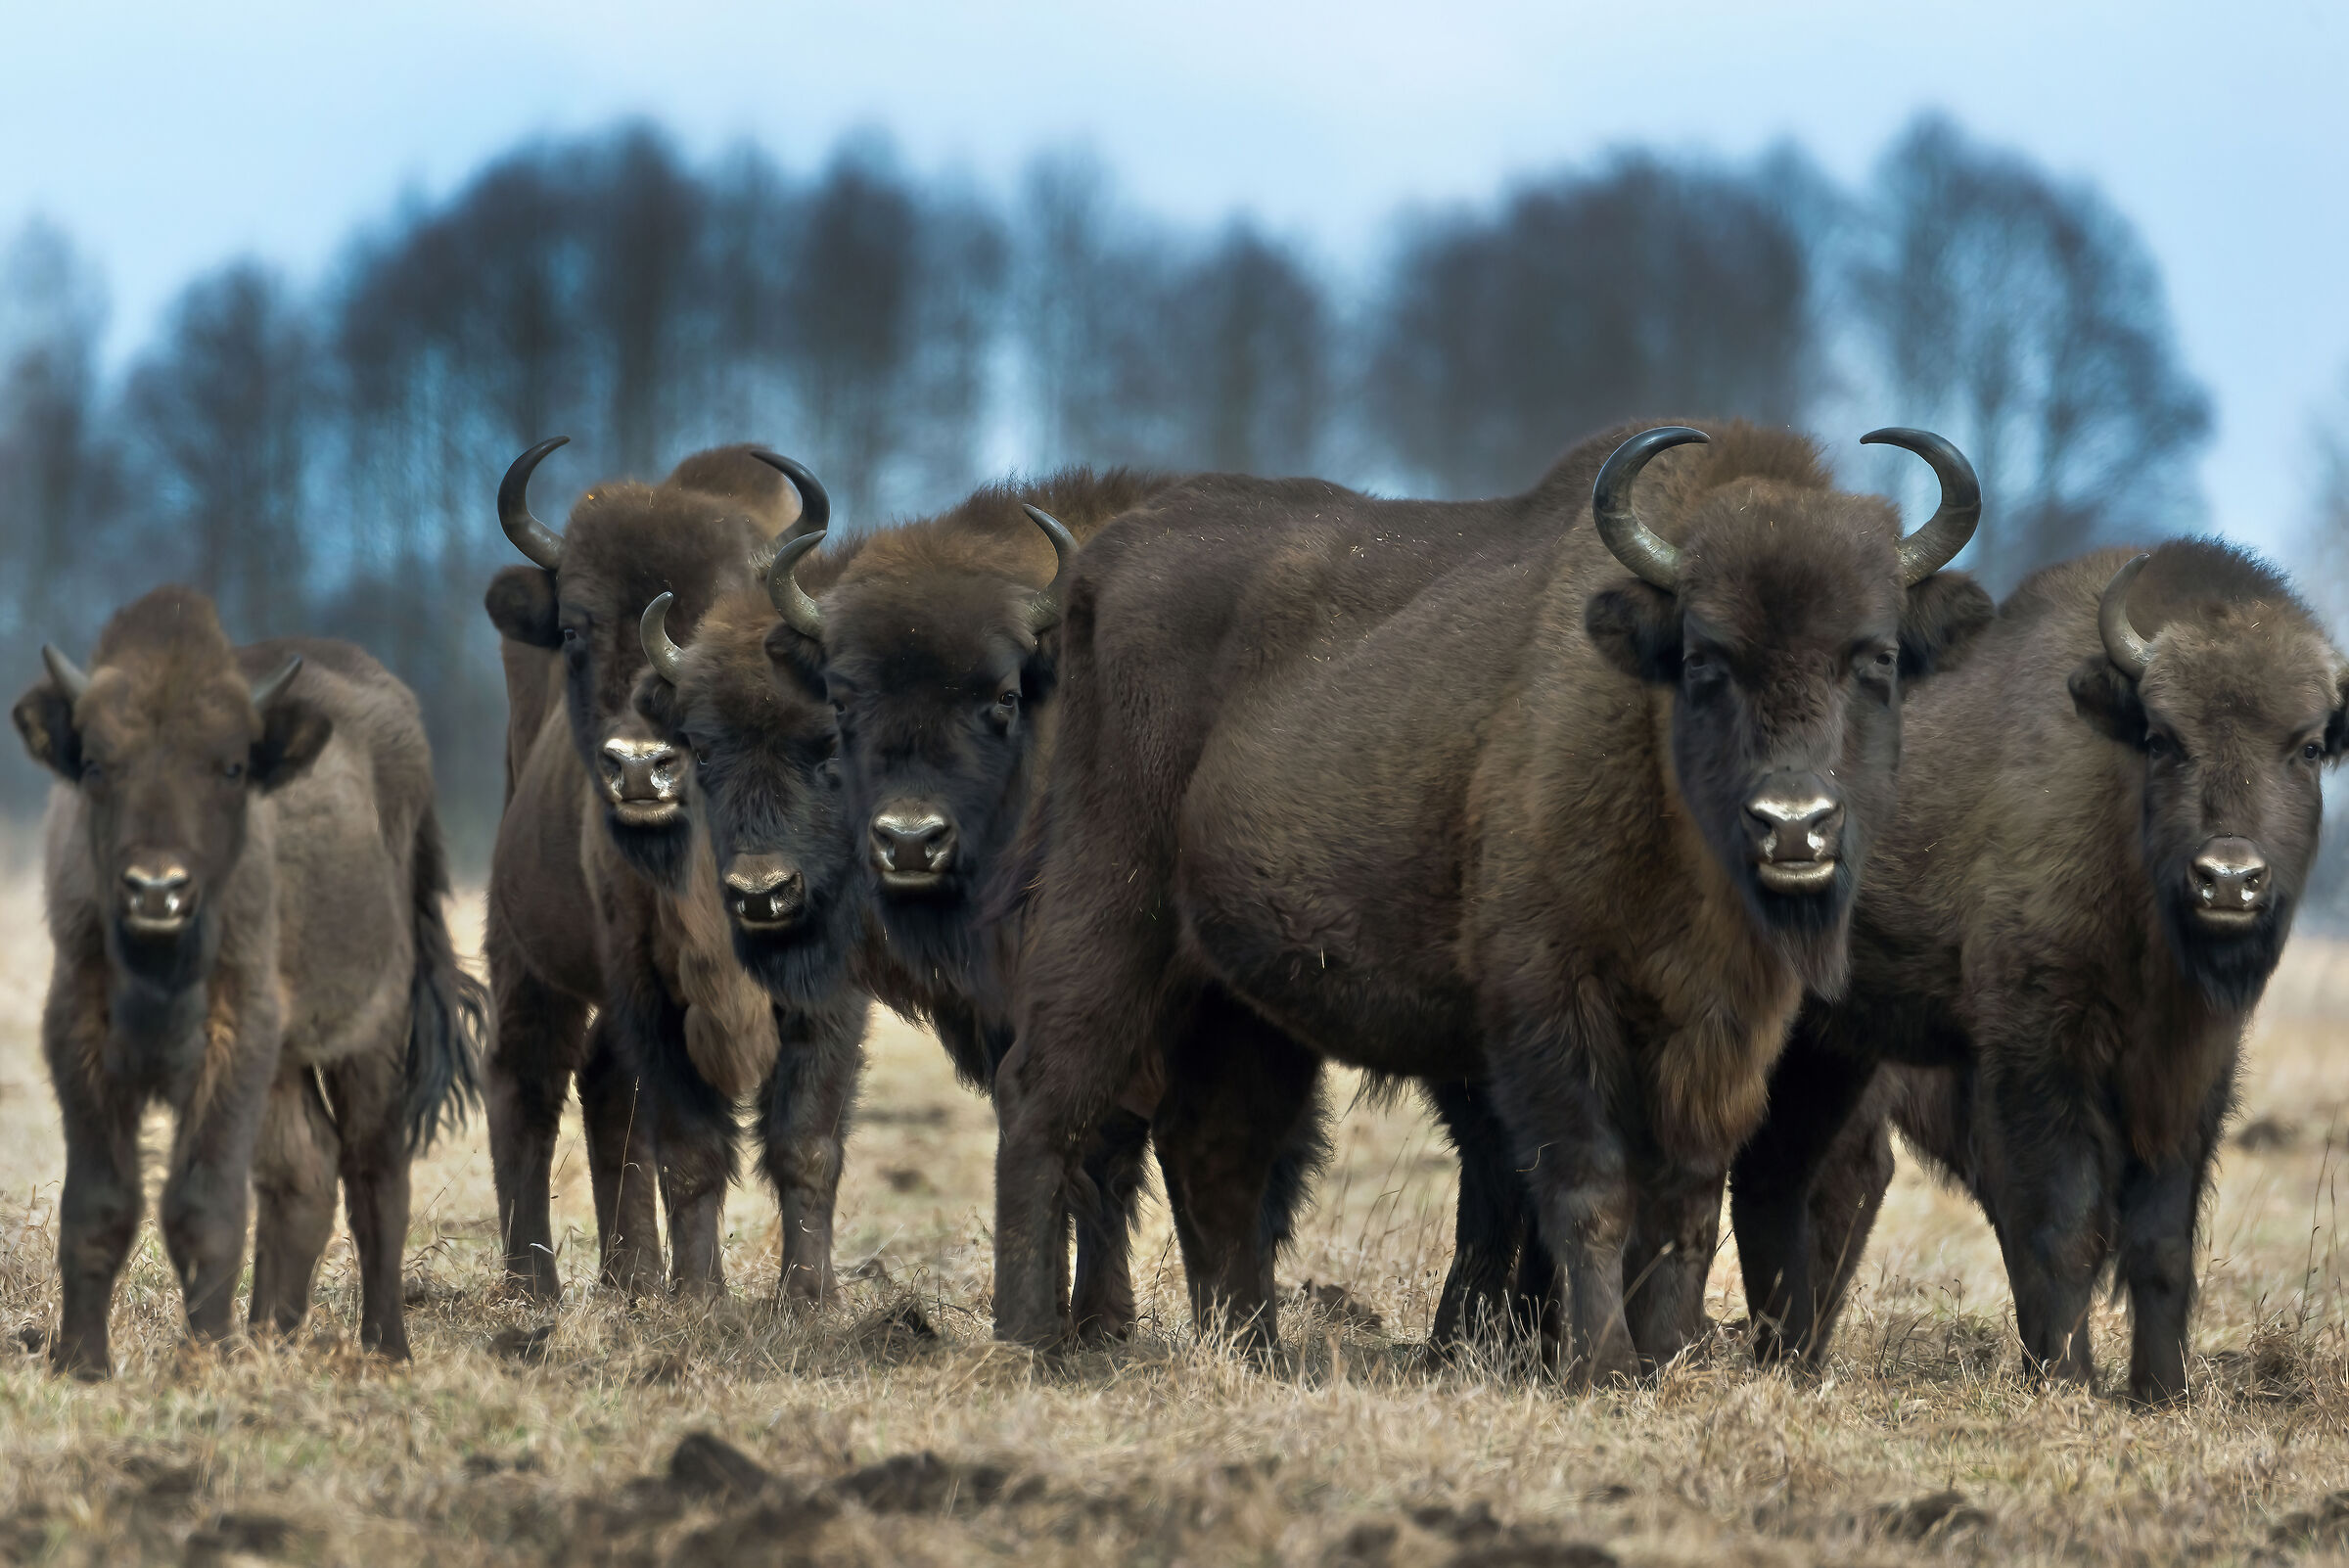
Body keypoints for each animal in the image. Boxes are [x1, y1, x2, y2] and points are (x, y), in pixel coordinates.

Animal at [12, 585, 483, 1376]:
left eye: (230, 768)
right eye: (99, 765)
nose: (157, 888)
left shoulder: (235, 1043)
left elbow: (204, 1207)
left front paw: (202, 1356)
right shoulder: (79, 1033)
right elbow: (98, 1205)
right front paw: (81, 1363)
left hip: (372, 1035)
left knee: (374, 1174)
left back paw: (384, 1346)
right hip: (289, 1061)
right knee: (305, 1170)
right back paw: (269, 1336)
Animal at [988, 420, 1991, 1378]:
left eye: (1876, 657)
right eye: (1707, 657)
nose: (1794, 825)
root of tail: (1101, 565)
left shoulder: (1719, 1033)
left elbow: (1687, 1202)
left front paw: (1666, 1357)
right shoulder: (1548, 1006)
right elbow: (1590, 1186)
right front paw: (1600, 1365)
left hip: (1236, 997)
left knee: (1218, 1146)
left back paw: (1255, 1351)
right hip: (1109, 915)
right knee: (1043, 1097)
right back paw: (1029, 1338)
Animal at [1731, 539, 2347, 1403]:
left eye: (2310, 745)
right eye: (2164, 739)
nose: (2229, 878)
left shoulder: (2193, 1071)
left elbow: (2162, 1244)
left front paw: (2162, 1393)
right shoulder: (2038, 1050)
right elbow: (2062, 1225)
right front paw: (2066, 1381)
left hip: (1829, 1048)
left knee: (1781, 1176)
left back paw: (1786, 1360)